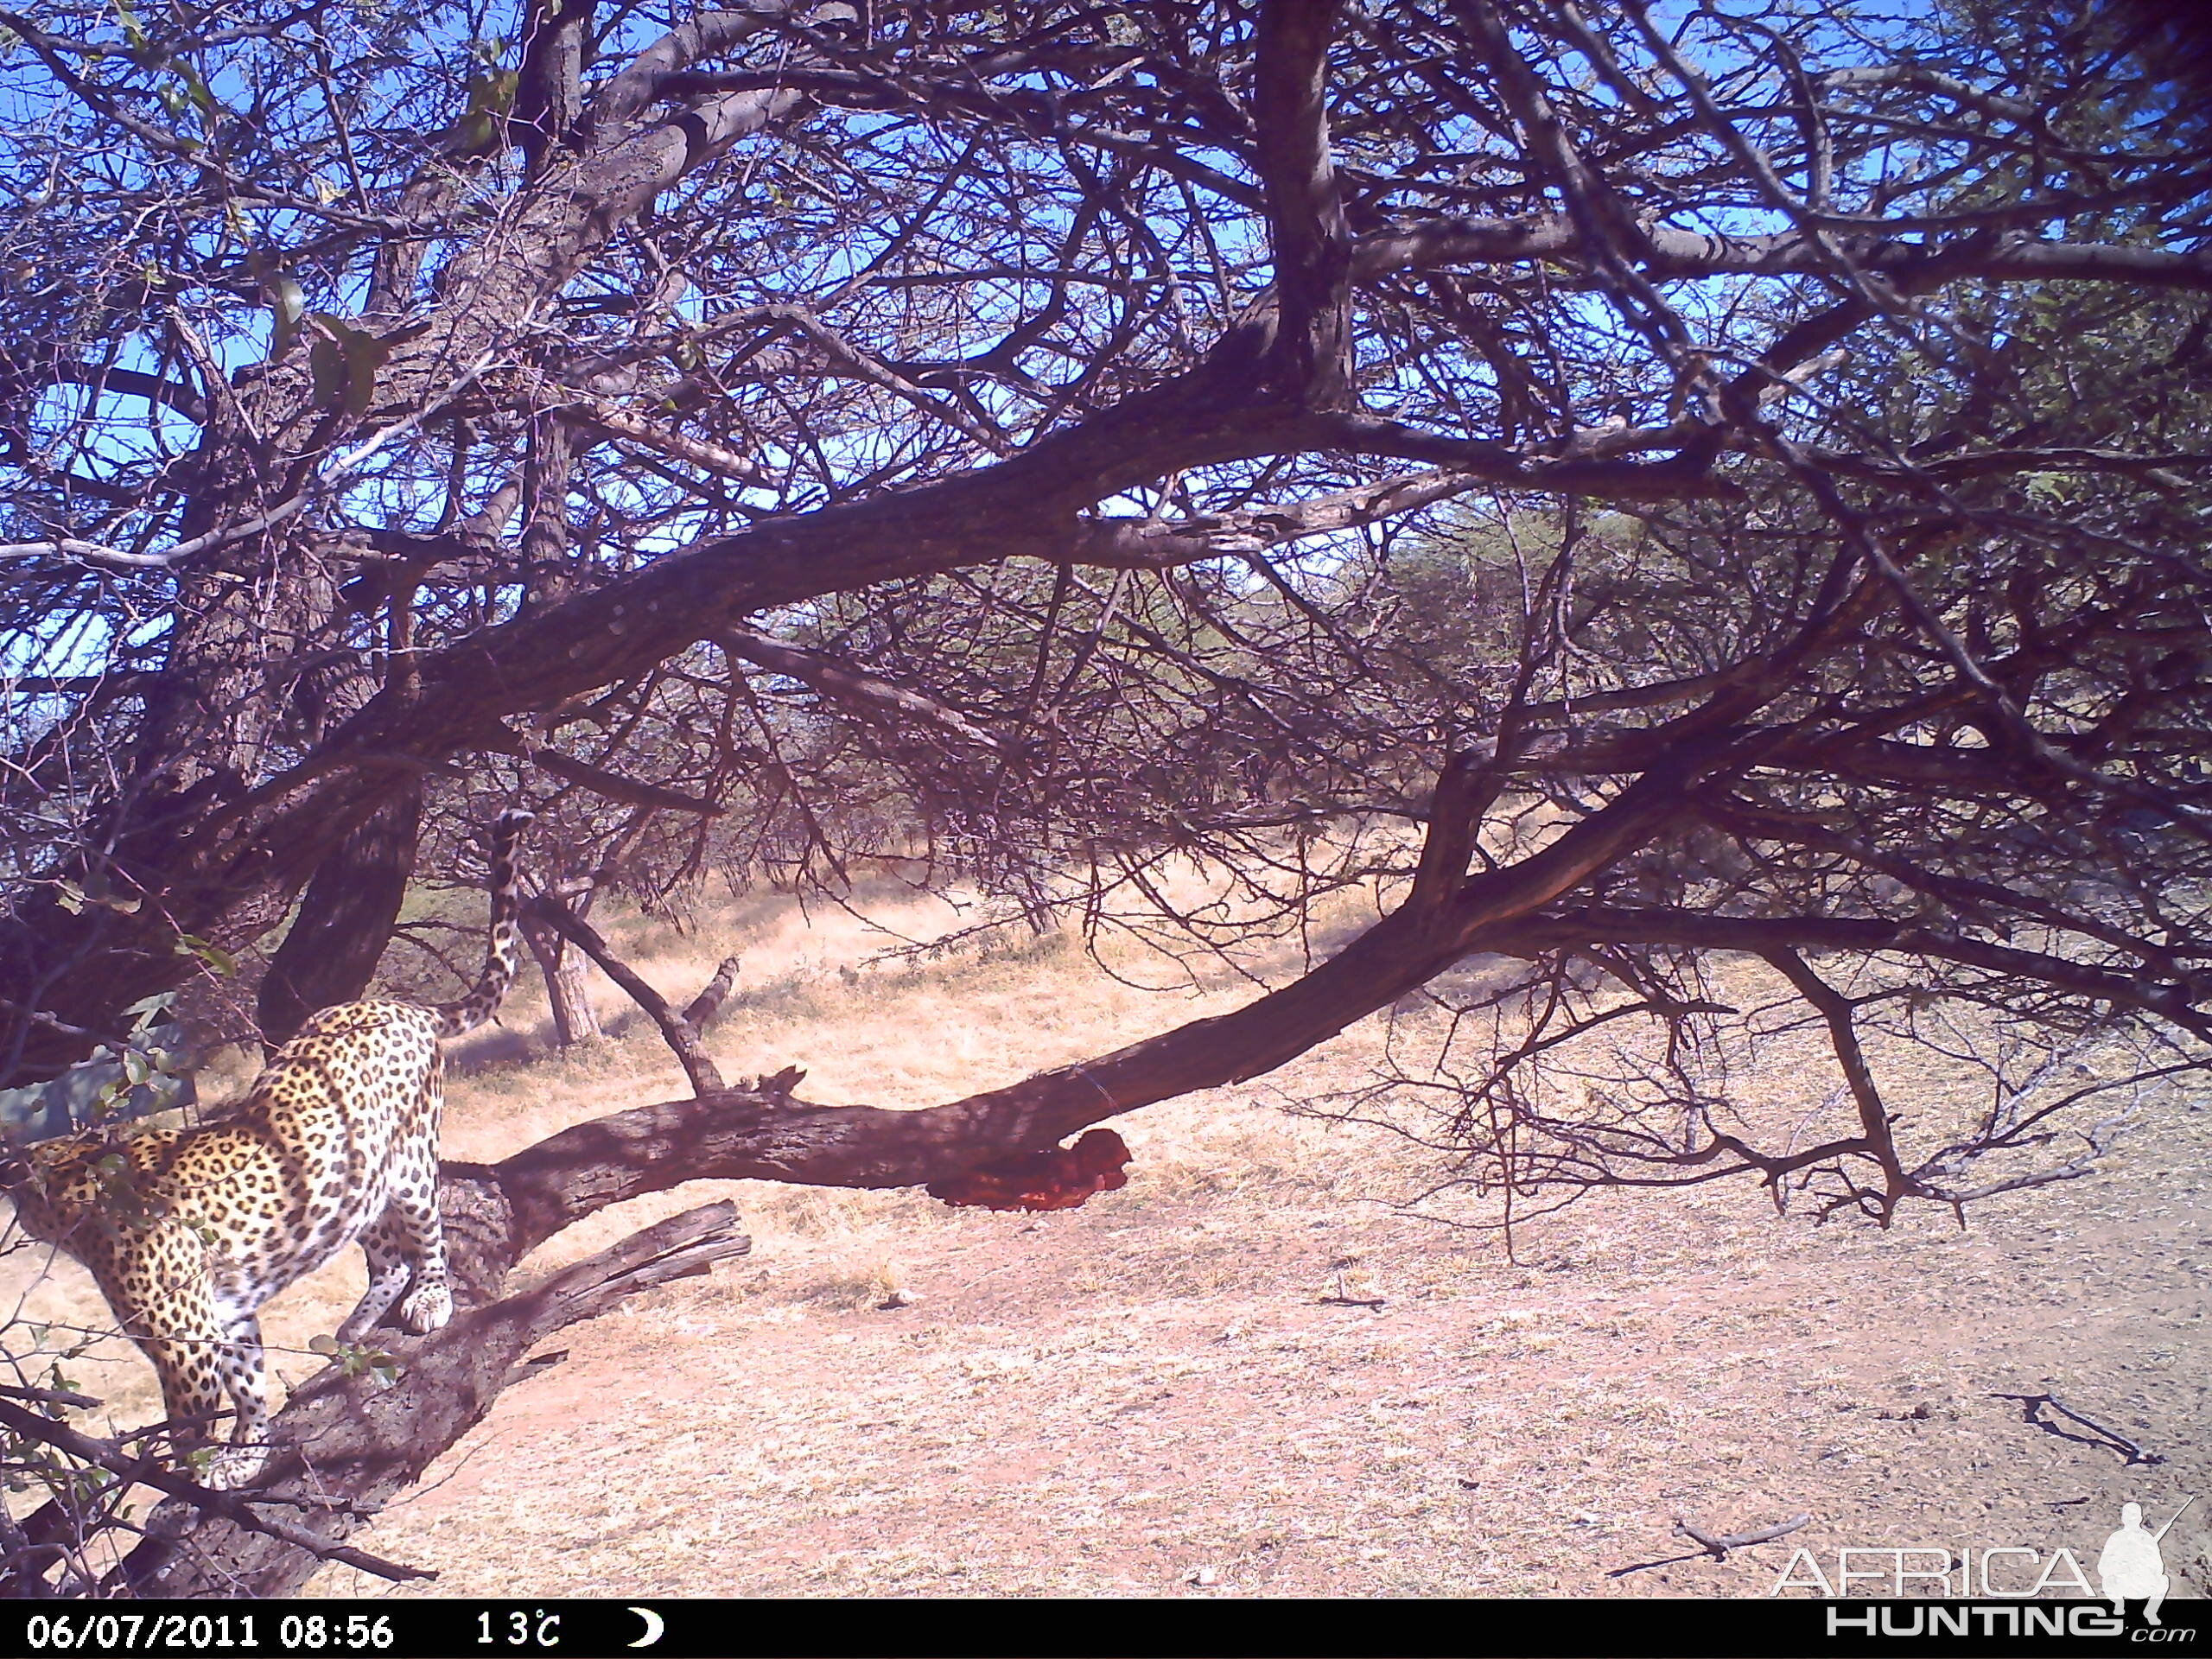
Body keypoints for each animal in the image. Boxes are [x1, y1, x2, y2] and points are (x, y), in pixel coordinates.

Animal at [1, 809, 535, 1495]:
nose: (21, 1213)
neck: (85, 1188)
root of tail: (398, 1005)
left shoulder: (183, 1343)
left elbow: (188, 1425)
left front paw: (191, 1474)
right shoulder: (227, 1318)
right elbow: (249, 1383)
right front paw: (248, 1448)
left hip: (412, 1163)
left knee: (429, 1237)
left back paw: (431, 1301)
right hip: (350, 1190)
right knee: (387, 1259)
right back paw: (352, 1332)